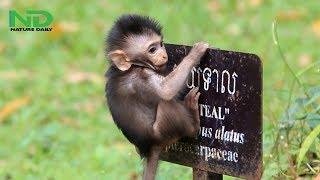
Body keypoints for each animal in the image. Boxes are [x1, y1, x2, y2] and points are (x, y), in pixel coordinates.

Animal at [105, 14, 209, 179]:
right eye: (152, 50)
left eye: (161, 44)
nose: (164, 55)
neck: (132, 67)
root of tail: (150, 147)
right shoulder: (142, 77)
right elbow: (166, 90)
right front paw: (196, 52)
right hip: (164, 132)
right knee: (166, 102)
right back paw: (193, 121)